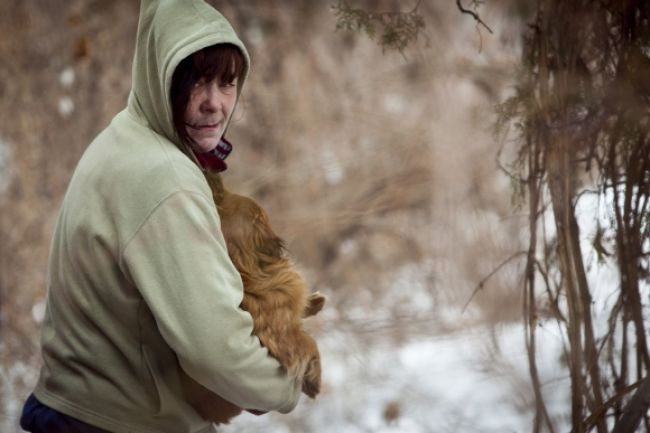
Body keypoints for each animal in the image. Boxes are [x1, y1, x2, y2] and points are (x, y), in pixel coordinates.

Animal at [178, 170, 322, 424]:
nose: (214, 177)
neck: (248, 275)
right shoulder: (284, 334)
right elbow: (308, 342)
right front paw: (314, 380)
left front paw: (315, 301)